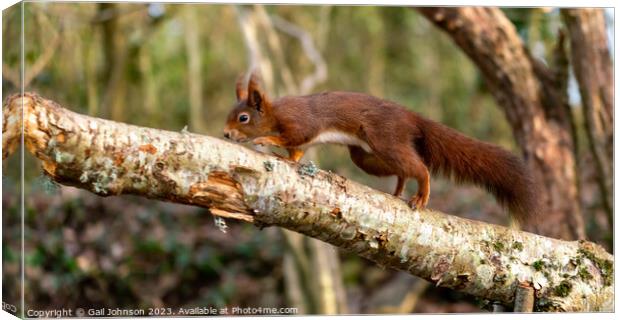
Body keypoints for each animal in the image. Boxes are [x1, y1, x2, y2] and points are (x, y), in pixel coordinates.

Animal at [223, 73, 536, 222]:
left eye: (243, 118)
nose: (226, 134)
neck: (276, 113)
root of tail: (411, 118)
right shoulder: (305, 140)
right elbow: (297, 151)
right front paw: (289, 160)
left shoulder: (301, 123)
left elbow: (293, 137)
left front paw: (265, 141)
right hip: (367, 156)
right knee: (402, 169)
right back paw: (398, 189)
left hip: (384, 139)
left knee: (420, 167)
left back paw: (421, 194)